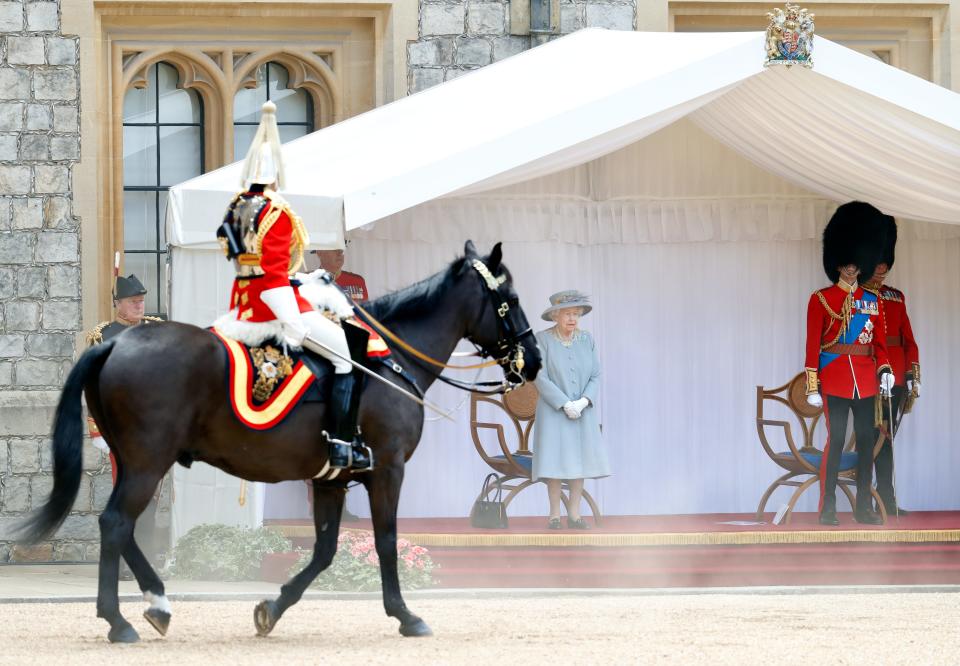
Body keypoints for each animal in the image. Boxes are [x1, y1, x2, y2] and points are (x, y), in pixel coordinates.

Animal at [18, 241, 540, 640]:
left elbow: (326, 550)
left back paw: (156, 604)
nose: (533, 361)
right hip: (147, 464)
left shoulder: (332, 478)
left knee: (122, 528)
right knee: (114, 524)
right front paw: (406, 615)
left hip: (134, 462)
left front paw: (272, 607)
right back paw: (120, 620)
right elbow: (387, 541)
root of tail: (115, 342)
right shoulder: (388, 468)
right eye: (510, 298)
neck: (390, 360)